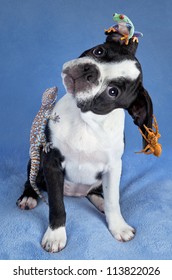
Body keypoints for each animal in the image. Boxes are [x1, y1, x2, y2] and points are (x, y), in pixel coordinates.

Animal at [17, 32, 152, 252]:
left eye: (113, 92)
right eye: (99, 51)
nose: (90, 71)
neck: (84, 120)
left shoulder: (114, 167)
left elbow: (113, 200)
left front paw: (118, 226)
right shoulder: (51, 162)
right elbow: (57, 204)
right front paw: (55, 235)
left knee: (98, 194)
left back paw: (101, 204)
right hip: (35, 159)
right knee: (31, 180)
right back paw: (28, 196)